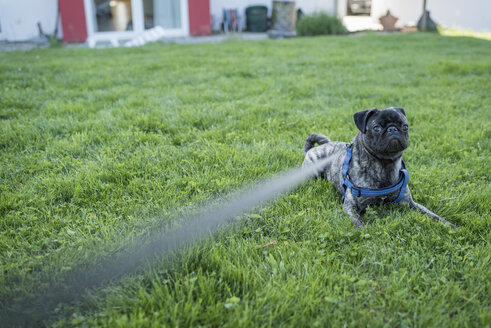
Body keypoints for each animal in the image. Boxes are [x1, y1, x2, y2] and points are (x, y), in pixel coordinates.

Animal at [304, 107, 458, 228]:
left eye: (405, 126)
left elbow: (433, 215)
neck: (385, 163)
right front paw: (364, 233)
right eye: (377, 128)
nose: (392, 129)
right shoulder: (350, 207)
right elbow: (358, 222)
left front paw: (451, 226)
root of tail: (312, 149)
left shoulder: (410, 203)